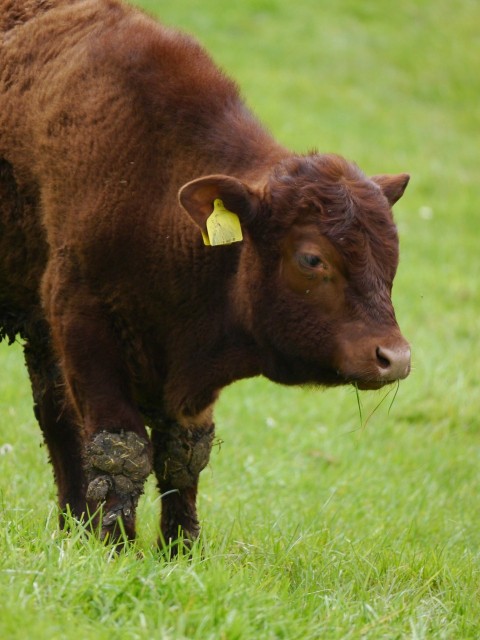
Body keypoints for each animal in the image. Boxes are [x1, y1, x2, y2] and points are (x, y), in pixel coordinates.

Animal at [0, 0, 408, 552]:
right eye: (312, 259)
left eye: (393, 255)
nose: (394, 357)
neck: (154, 184)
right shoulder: (81, 318)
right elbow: (120, 445)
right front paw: (116, 545)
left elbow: (184, 454)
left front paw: (180, 547)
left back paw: (73, 521)